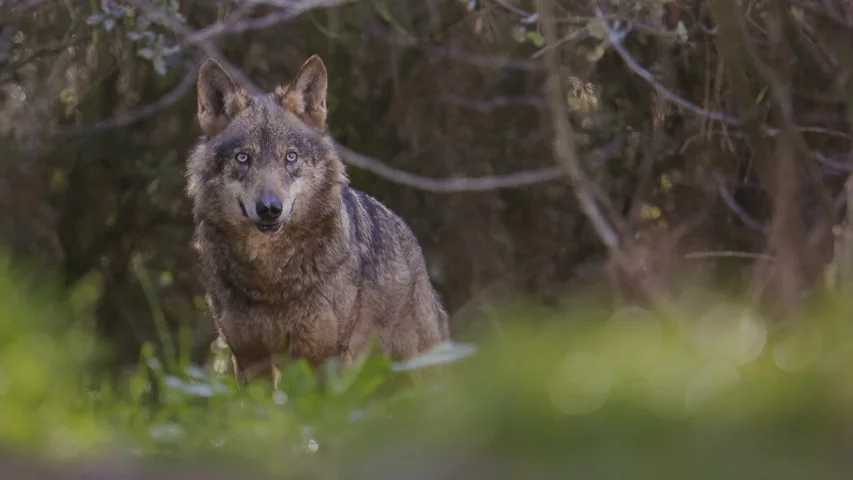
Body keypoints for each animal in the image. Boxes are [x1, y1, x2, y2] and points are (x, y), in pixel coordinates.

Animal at [185, 54, 452, 384]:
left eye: (290, 157)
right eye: (243, 158)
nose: (269, 208)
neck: (269, 278)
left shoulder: (323, 355)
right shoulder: (249, 357)